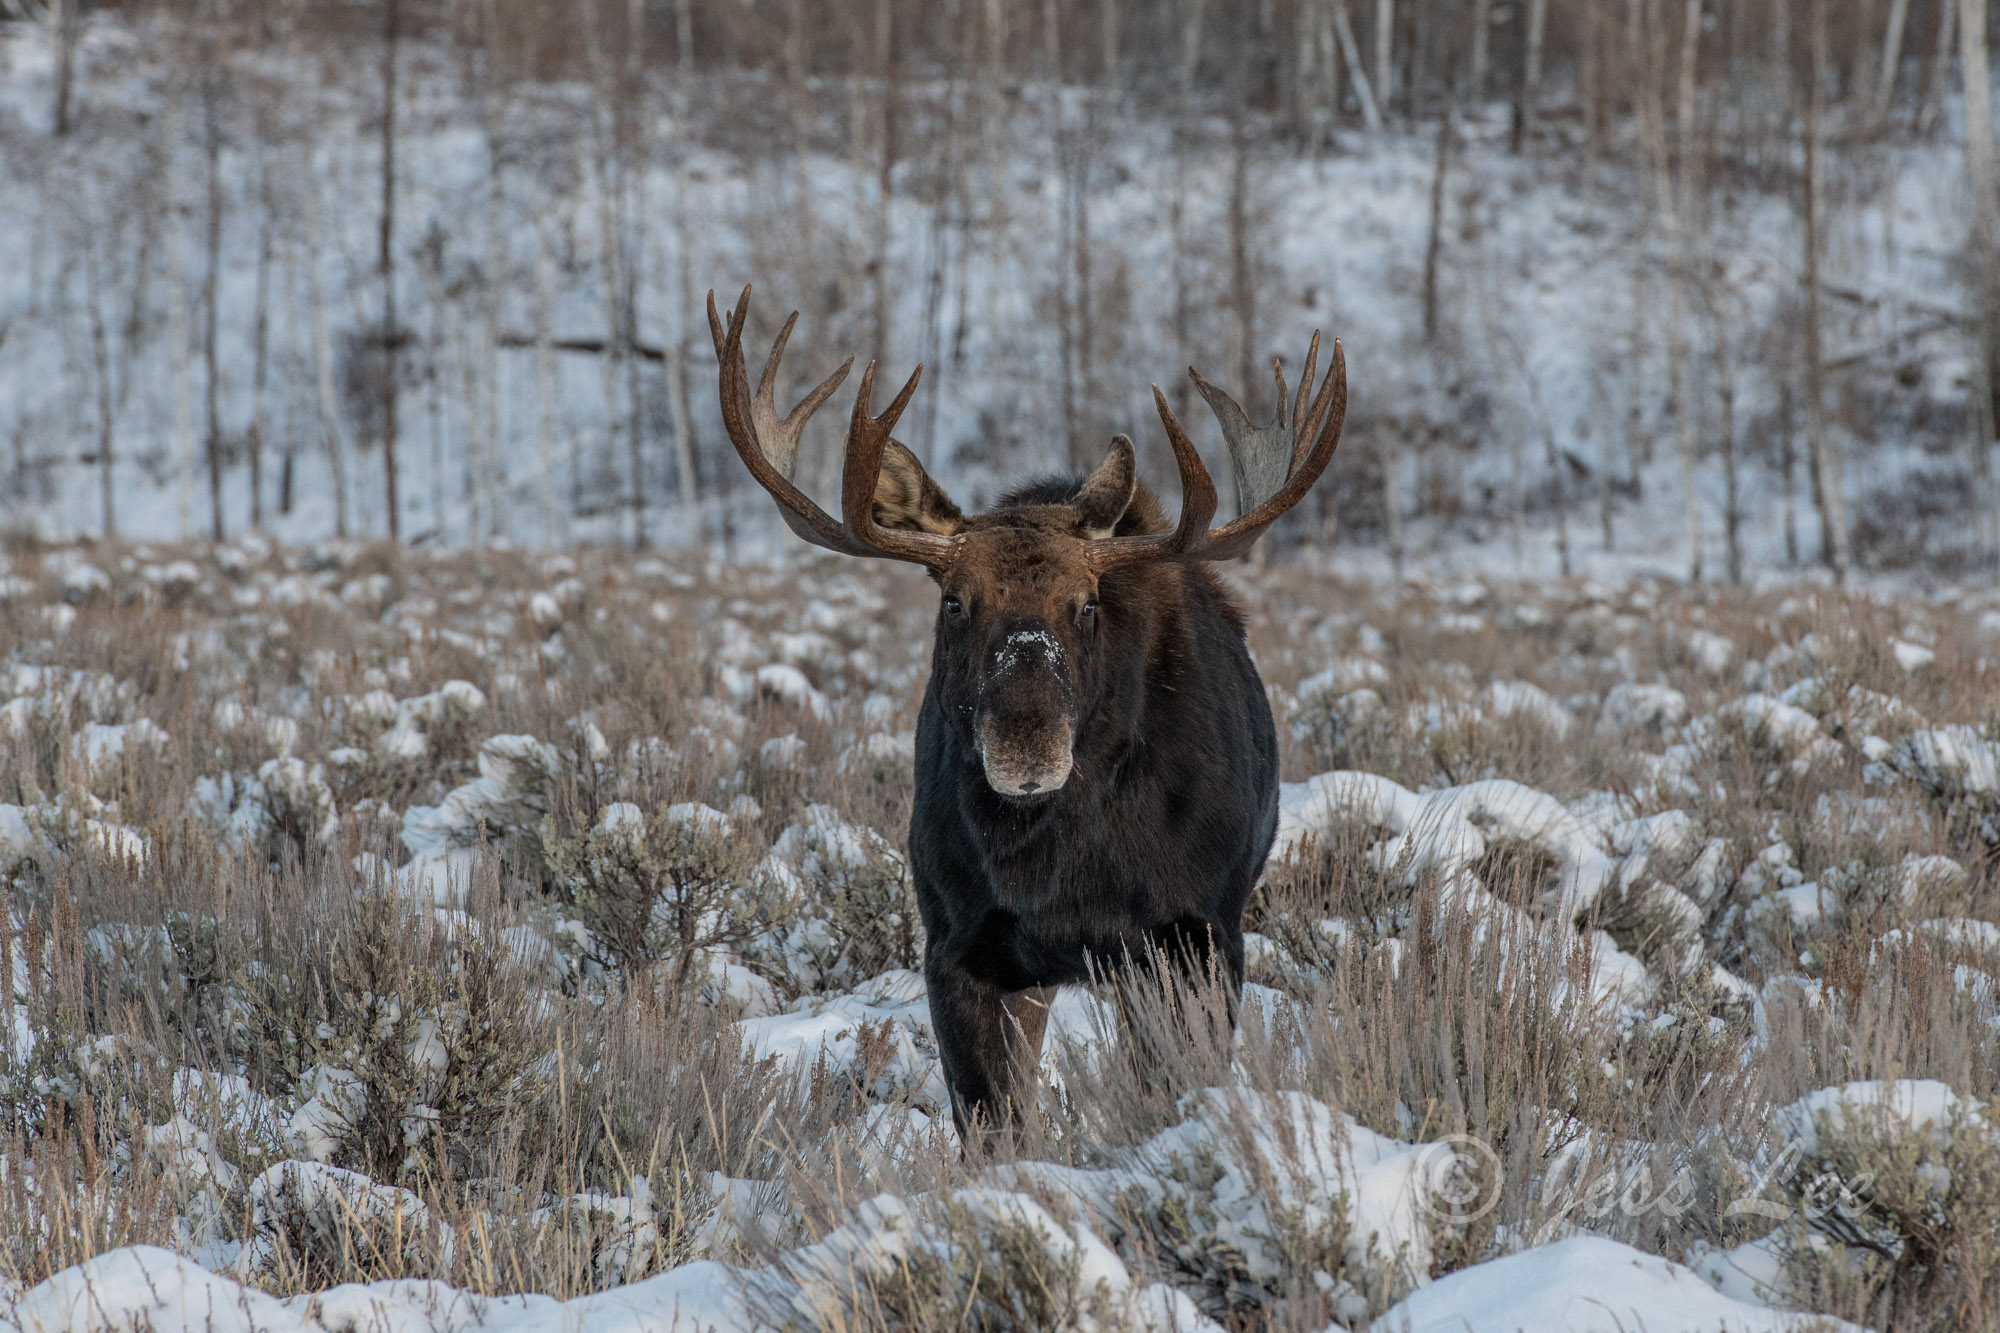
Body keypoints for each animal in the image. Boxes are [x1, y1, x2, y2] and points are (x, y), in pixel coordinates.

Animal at [704, 286, 1344, 1136]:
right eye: (953, 601)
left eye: (1087, 605)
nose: (1027, 747)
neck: (1057, 866)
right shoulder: (957, 942)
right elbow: (994, 1123)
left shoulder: (1199, 935)